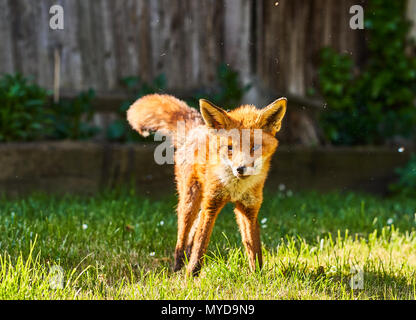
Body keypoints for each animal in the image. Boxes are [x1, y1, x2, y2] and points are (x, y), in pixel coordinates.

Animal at [128, 94, 288, 276]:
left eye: (255, 147)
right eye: (230, 148)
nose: (240, 169)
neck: (235, 188)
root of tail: (197, 128)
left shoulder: (249, 209)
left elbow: (253, 248)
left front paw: (258, 275)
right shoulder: (211, 204)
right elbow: (201, 244)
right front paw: (191, 276)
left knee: (192, 232)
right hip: (190, 202)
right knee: (183, 237)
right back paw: (177, 268)